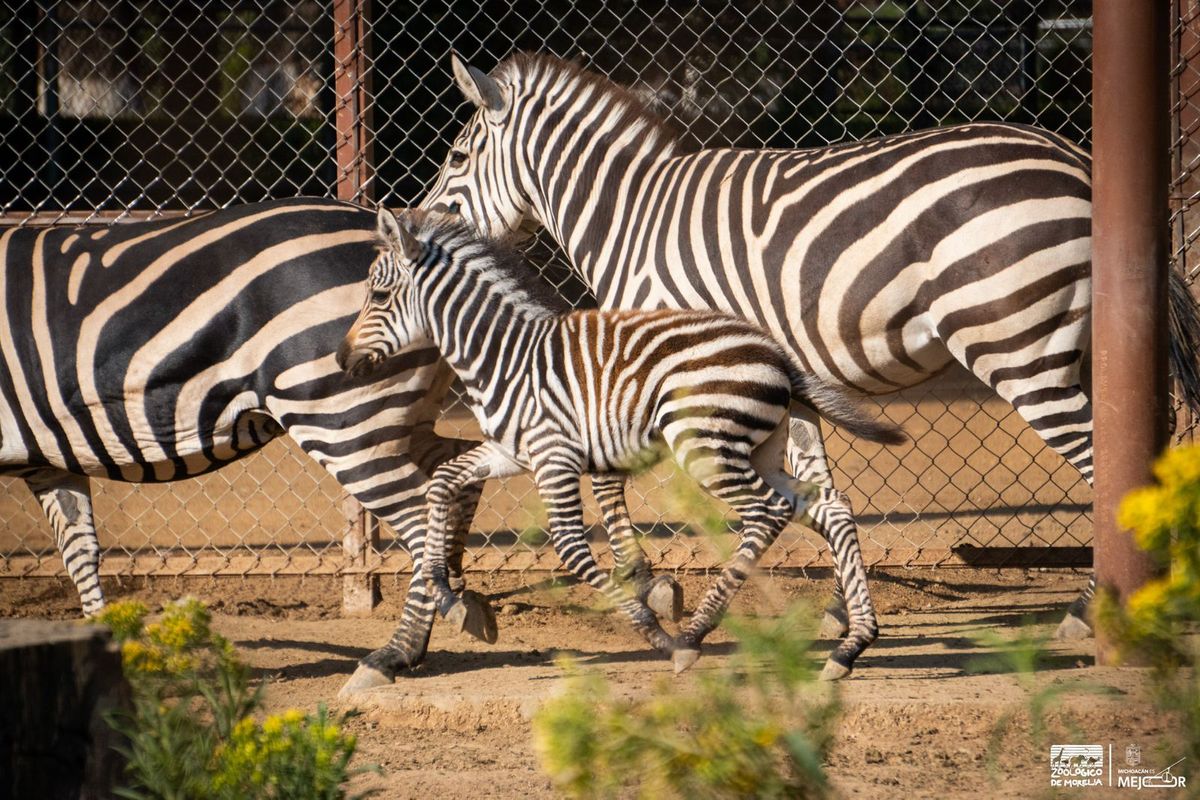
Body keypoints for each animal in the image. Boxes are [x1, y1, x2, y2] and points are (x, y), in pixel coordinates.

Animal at [0, 197, 500, 690]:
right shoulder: (48, 461)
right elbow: (79, 550)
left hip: (341, 418)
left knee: (417, 511)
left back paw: (394, 653)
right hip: (397, 416)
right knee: (456, 469)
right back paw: (455, 590)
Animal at [338, 207, 905, 676]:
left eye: (379, 296)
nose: (342, 362)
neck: (506, 357)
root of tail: (775, 352)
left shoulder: (555, 458)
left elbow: (571, 548)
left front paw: (661, 639)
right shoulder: (511, 453)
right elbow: (441, 481)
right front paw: (445, 590)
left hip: (706, 448)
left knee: (767, 513)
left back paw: (694, 634)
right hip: (756, 451)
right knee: (830, 508)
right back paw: (851, 645)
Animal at [419, 51, 1200, 640]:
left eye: (455, 155)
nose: (414, 226)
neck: (632, 220)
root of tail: (1073, 155)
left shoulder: (662, 364)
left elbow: (614, 475)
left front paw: (648, 584)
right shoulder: (769, 380)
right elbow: (820, 491)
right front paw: (840, 611)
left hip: (1017, 348)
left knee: (1110, 469)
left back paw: (1093, 612)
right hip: (1080, 351)